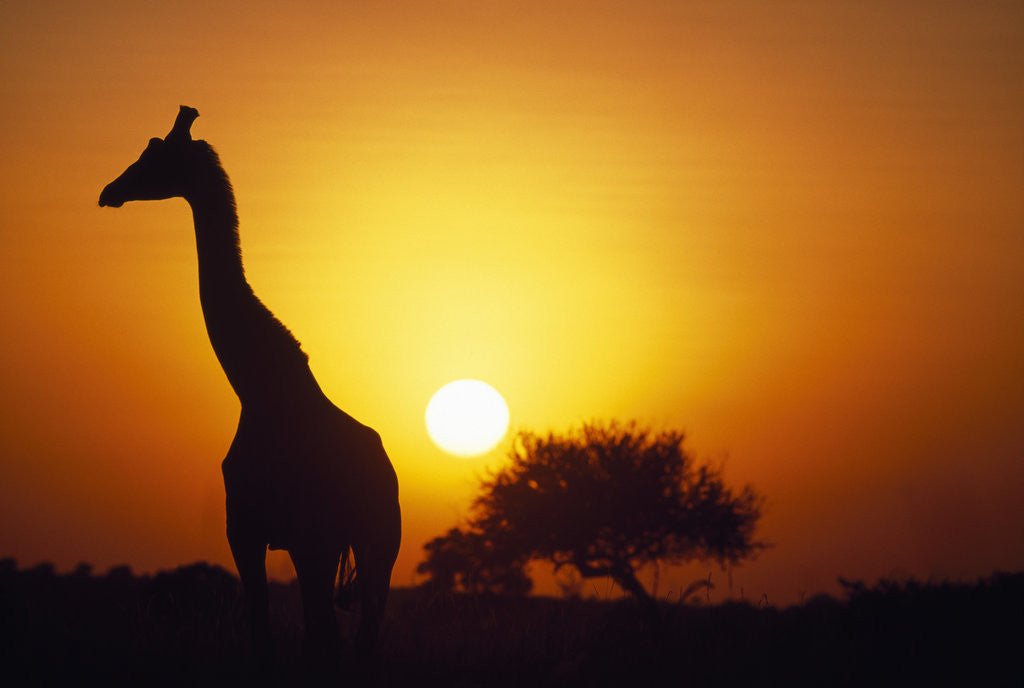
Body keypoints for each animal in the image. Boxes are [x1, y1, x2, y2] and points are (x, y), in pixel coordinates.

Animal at [99, 106, 401, 675]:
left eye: (155, 153)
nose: (109, 191)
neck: (260, 391)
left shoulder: (277, 534)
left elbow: (287, 638)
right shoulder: (261, 534)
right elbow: (270, 636)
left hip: (355, 543)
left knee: (343, 640)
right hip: (369, 548)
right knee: (359, 641)